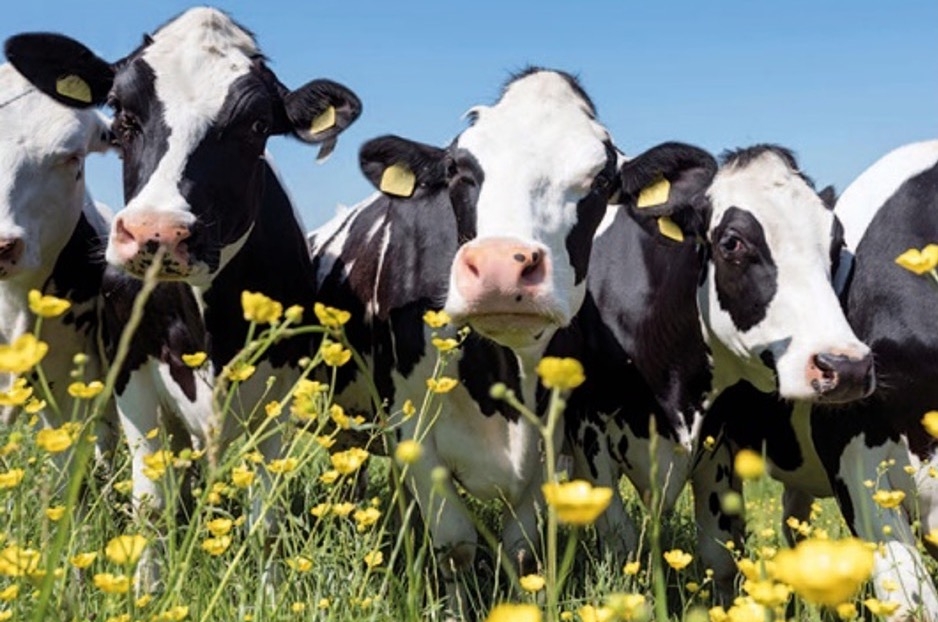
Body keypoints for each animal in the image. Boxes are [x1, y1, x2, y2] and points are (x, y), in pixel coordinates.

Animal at [309, 66, 717, 617]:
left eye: (601, 180)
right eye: (458, 168)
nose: (502, 265)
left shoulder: (549, 440)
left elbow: (520, 550)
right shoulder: (412, 426)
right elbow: (455, 546)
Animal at [547, 144, 876, 601]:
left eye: (835, 243)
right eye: (732, 242)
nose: (846, 366)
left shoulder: (716, 441)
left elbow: (719, 555)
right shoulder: (589, 437)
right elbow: (620, 542)